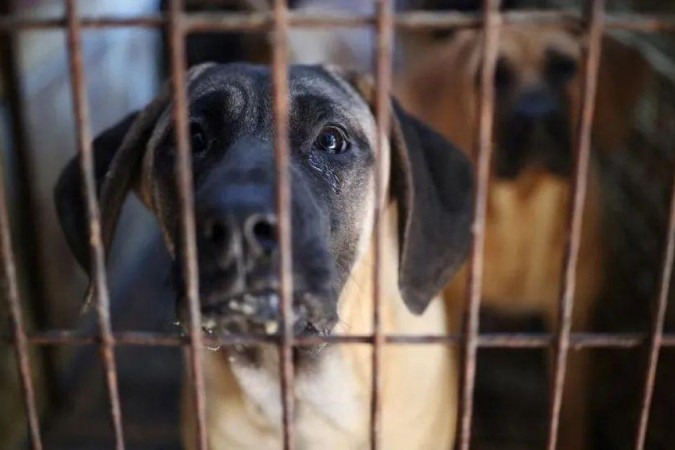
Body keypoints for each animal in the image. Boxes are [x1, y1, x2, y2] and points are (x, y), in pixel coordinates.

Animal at [396, 23, 648, 450]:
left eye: (564, 66)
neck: (523, 211)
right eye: (494, 77)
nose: (536, 117)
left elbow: (569, 409)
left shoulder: (571, 324)